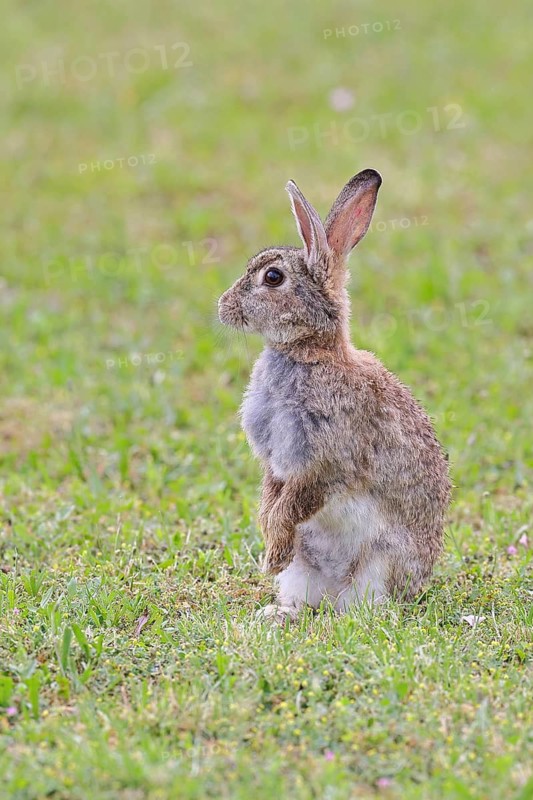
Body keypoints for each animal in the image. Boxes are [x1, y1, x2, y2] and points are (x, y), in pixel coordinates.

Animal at [218, 169, 451, 618]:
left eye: (273, 277)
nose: (222, 308)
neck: (309, 354)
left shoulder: (327, 462)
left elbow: (293, 505)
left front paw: (271, 554)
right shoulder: (277, 464)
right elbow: (272, 500)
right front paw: (269, 551)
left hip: (379, 564)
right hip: (304, 568)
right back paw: (279, 613)